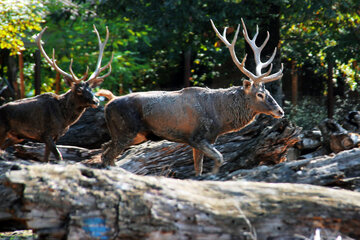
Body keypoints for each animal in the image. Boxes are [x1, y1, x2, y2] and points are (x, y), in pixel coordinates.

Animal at [0, 24, 112, 161]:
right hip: (2, 130)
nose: (96, 101)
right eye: (79, 90)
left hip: (16, 136)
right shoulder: (46, 133)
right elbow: (58, 156)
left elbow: (46, 159)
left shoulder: (55, 136)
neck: (64, 118)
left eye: (91, 88)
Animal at [99, 18, 284, 175]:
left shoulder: (202, 140)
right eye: (260, 94)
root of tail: (108, 104)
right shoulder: (196, 137)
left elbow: (198, 168)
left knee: (104, 149)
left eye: (268, 92)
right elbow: (219, 158)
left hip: (132, 135)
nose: (280, 111)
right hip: (126, 131)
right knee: (107, 156)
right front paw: (213, 176)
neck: (220, 118)